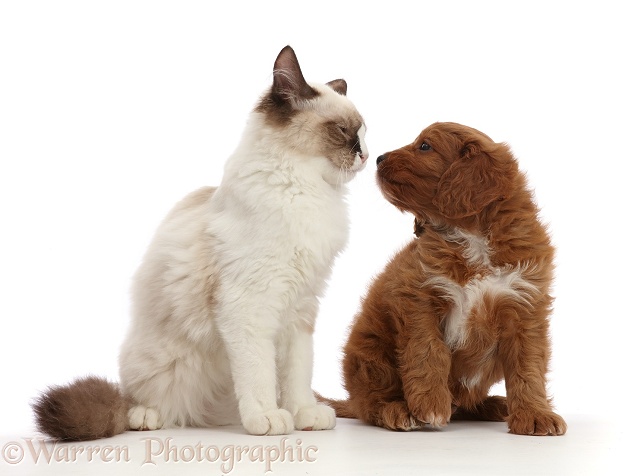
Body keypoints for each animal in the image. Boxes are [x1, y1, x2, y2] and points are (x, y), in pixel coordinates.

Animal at [34, 44, 368, 438]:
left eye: (364, 133)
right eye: (342, 131)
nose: (364, 154)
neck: (308, 190)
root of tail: (201, 417)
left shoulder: (301, 308)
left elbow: (297, 374)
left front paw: (304, 414)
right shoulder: (250, 307)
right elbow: (259, 374)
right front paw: (268, 418)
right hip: (153, 360)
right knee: (132, 402)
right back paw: (148, 416)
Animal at [328, 122, 564, 436]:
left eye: (425, 146)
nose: (378, 158)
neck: (472, 236)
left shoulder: (525, 307)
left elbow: (528, 366)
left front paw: (536, 415)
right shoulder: (419, 298)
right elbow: (428, 351)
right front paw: (430, 404)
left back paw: (494, 405)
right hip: (371, 357)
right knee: (371, 404)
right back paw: (397, 410)